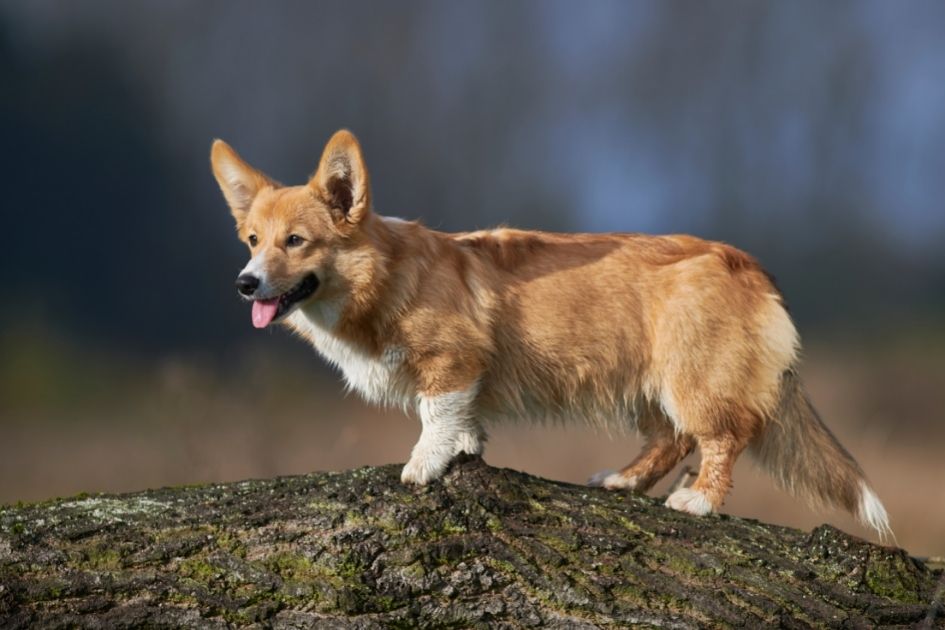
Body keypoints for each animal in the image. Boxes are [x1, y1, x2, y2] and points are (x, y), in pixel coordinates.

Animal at [210, 128, 888, 540]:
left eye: (297, 241)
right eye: (252, 240)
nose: (243, 283)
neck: (380, 276)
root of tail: (752, 268)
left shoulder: (452, 363)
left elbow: (435, 416)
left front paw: (424, 465)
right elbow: (464, 423)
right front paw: (464, 450)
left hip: (693, 378)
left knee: (722, 437)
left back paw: (698, 500)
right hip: (648, 385)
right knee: (671, 438)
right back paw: (624, 482)